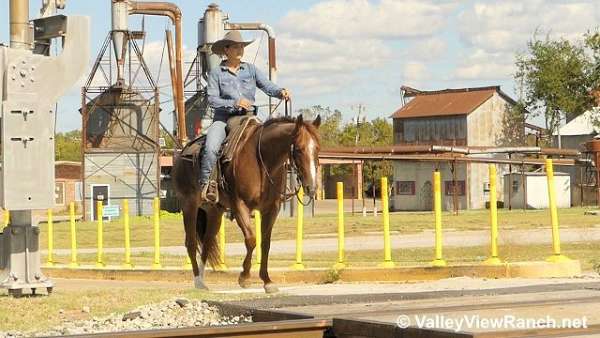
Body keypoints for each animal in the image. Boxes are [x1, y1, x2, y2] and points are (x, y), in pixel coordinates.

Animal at [172, 115, 322, 292]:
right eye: (298, 149)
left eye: (317, 148)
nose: (311, 187)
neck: (262, 162)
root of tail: (182, 154)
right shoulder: (240, 206)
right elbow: (251, 240)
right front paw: (244, 277)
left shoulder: (271, 209)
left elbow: (265, 243)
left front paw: (267, 281)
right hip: (189, 205)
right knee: (191, 242)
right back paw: (197, 281)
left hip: (214, 211)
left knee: (207, 243)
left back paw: (202, 280)